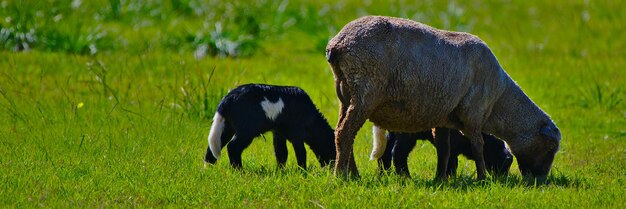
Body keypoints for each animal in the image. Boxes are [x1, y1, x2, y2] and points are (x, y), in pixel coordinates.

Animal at [202, 83, 334, 170]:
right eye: (334, 149)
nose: (331, 168)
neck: (311, 119)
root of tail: (226, 100)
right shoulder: (296, 132)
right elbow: (301, 152)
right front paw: (303, 172)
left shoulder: (278, 132)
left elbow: (281, 153)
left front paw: (280, 171)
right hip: (247, 129)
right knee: (232, 147)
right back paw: (239, 171)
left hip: (227, 125)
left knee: (213, 146)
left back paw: (208, 170)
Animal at [370, 125, 512, 178]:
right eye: (502, 163)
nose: (502, 179)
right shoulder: (453, 145)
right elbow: (451, 162)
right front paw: (449, 177)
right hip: (406, 134)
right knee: (398, 153)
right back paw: (406, 176)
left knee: (385, 152)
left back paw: (385, 174)